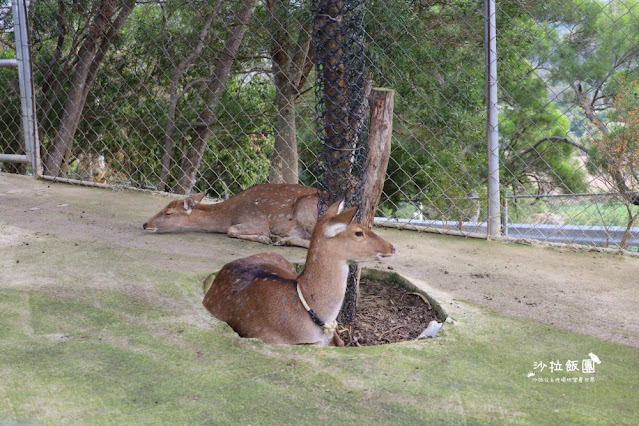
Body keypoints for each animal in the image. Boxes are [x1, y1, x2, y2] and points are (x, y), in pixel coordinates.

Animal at [142, 184, 318, 250]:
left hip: (306, 207)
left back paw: (280, 239)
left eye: (168, 213)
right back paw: (280, 239)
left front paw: (264, 238)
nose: (145, 224)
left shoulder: (258, 221)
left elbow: (231, 230)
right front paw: (269, 237)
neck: (231, 213)